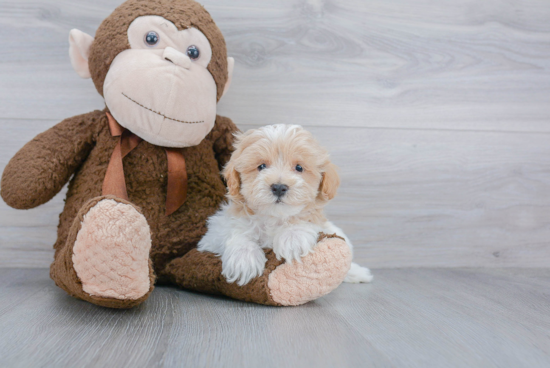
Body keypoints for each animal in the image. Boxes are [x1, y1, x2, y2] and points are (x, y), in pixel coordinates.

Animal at [198, 125, 376, 286]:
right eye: (261, 166)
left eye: (299, 168)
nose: (278, 187)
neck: (274, 217)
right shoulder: (213, 234)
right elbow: (233, 232)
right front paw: (244, 258)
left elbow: (303, 221)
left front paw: (293, 238)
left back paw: (358, 272)